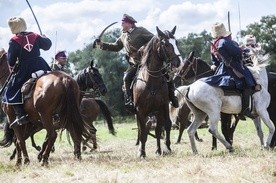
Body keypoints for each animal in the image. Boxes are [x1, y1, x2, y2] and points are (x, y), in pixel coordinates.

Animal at [133, 26, 182, 157]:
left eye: (176, 42)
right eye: (166, 44)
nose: (178, 62)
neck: (151, 82)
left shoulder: (160, 108)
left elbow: (159, 130)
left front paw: (159, 150)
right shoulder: (140, 111)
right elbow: (143, 131)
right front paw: (142, 153)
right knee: (142, 129)